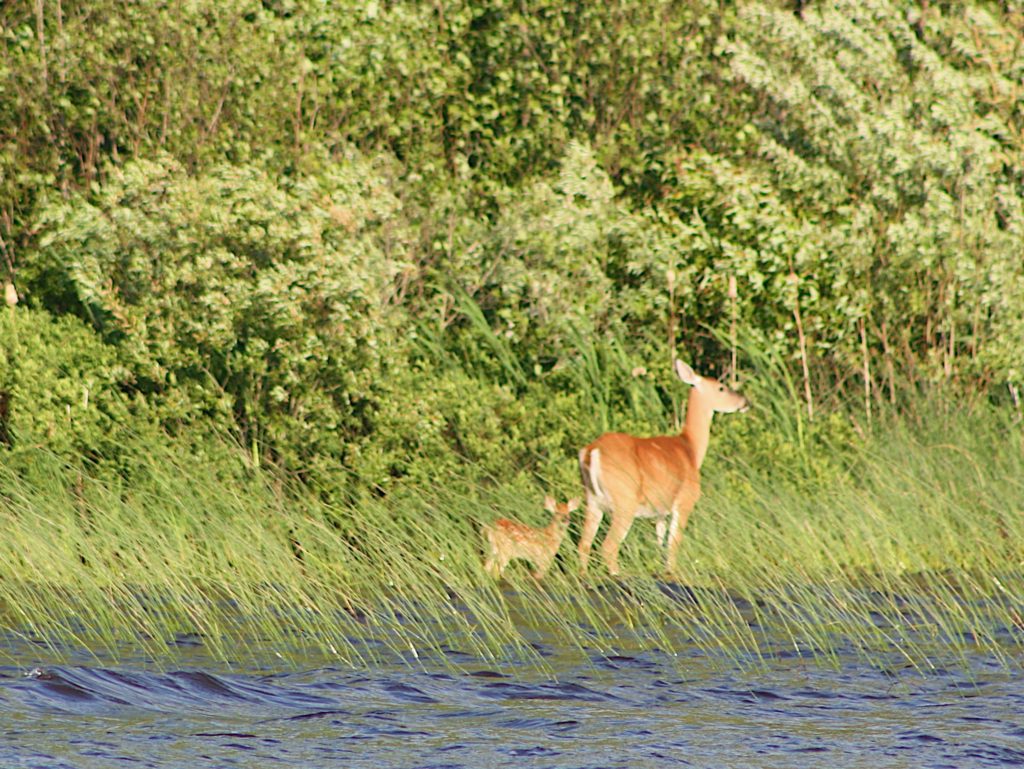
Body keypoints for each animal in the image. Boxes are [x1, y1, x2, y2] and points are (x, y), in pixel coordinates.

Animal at [577, 360, 753, 577]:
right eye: (721, 387)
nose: (745, 401)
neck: (690, 449)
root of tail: (592, 451)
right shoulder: (685, 500)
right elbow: (673, 544)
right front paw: (673, 573)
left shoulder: (660, 511)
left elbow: (660, 544)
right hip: (625, 499)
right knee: (609, 546)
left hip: (592, 500)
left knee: (583, 544)